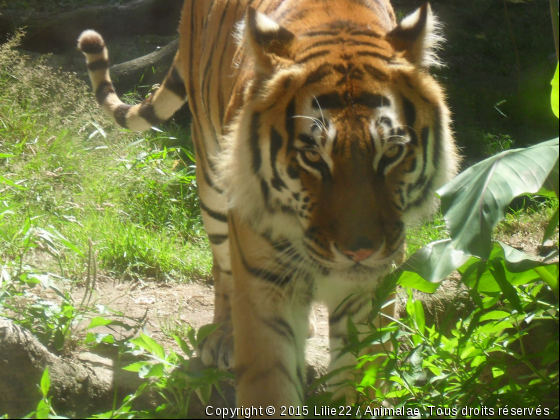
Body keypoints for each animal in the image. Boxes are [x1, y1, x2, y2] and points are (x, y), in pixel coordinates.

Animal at [76, 0, 458, 414]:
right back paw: (222, 337)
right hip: (211, 179)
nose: (360, 251)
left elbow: (361, 379)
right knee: (222, 267)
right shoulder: (265, 284)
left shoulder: (372, 289)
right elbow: (270, 385)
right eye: (313, 156)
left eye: (390, 153)